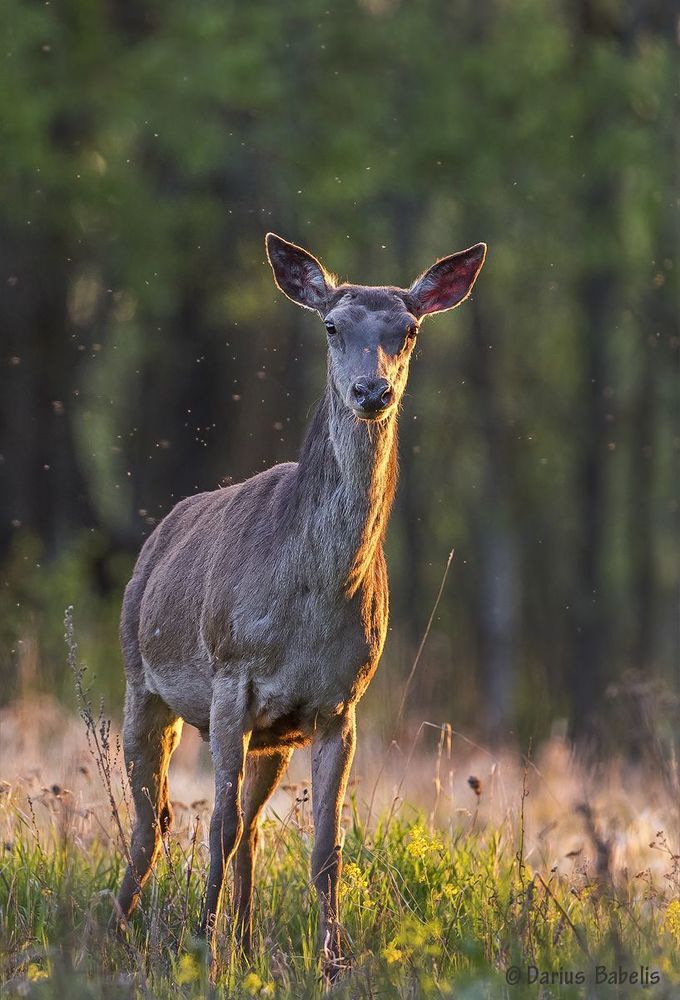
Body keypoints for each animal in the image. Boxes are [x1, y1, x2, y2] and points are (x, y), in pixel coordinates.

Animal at [115, 232, 486, 979]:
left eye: (409, 330)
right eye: (332, 326)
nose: (371, 390)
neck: (311, 604)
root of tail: (159, 535)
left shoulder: (339, 703)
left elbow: (326, 848)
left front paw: (331, 966)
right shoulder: (231, 675)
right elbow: (216, 825)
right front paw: (201, 952)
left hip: (273, 735)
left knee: (251, 826)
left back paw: (246, 942)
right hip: (142, 680)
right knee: (157, 820)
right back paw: (116, 933)